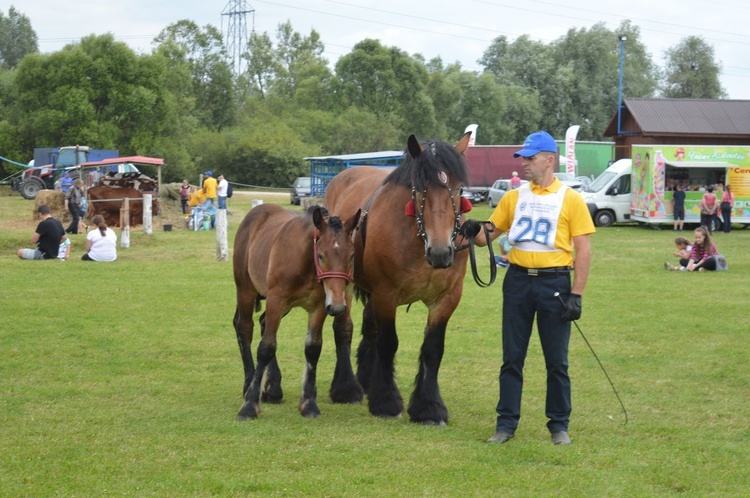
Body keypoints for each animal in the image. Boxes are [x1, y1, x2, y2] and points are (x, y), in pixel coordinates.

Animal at [235, 204, 364, 418]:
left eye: (352, 255)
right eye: (321, 255)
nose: (338, 306)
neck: (306, 264)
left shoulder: (319, 306)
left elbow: (312, 348)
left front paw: (309, 404)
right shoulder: (276, 300)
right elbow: (266, 347)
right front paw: (249, 406)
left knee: (262, 322)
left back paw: (272, 389)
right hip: (246, 290)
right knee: (244, 328)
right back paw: (248, 385)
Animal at [324, 132, 476, 424]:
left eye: (459, 190)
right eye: (418, 191)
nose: (441, 252)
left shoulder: (447, 298)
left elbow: (433, 348)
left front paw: (429, 406)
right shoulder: (386, 294)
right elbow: (388, 342)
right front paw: (386, 401)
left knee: (369, 329)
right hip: (343, 283)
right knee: (344, 328)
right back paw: (346, 388)